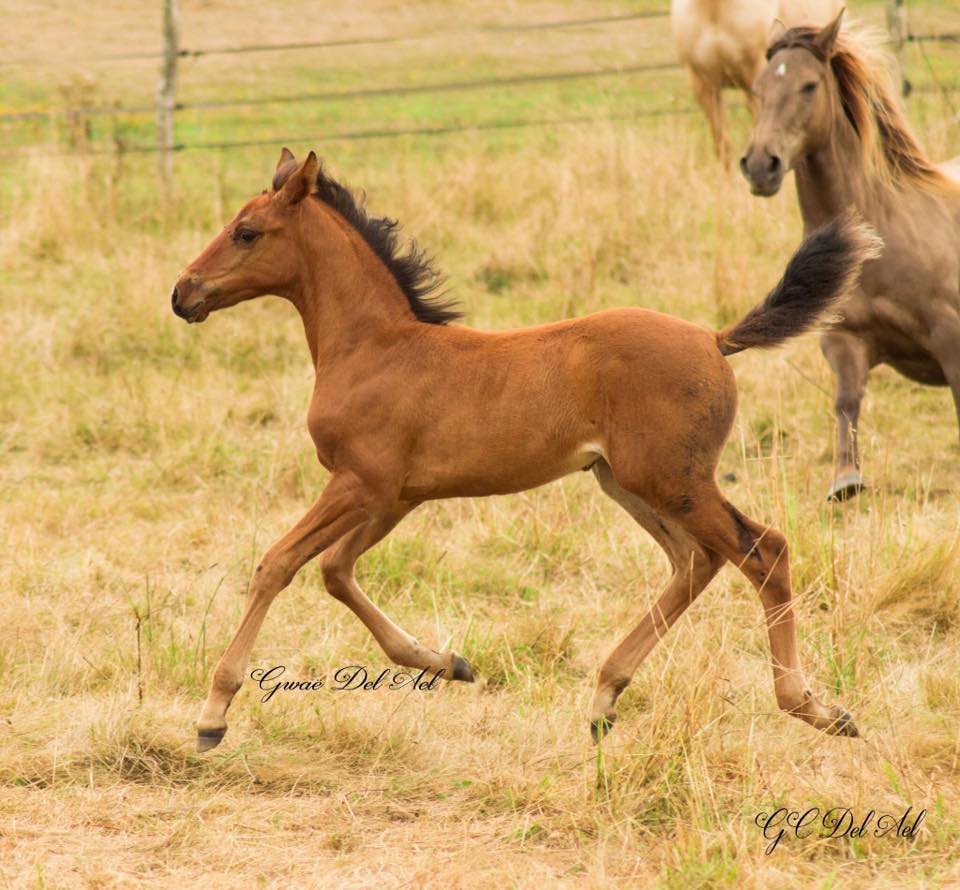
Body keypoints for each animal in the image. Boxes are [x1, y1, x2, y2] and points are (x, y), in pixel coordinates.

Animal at [172, 147, 876, 748]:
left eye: (247, 232)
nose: (183, 293)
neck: (375, 348)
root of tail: (713, 338)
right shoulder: (394, 497)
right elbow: (335, 571)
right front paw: (449, 663)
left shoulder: (359, 485)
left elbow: (278, 564)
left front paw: (213, 714)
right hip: (625, 482)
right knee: (694, 562)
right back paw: (604, 698)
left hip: (671, 481)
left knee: (764, 552)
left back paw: (814, 708)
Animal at [744, 12, 960, 500]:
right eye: (758, 88)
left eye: (809, 85)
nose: (761, 165)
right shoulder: (844, 339)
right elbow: (846, 401)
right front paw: (846, 479)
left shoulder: (951, 337)